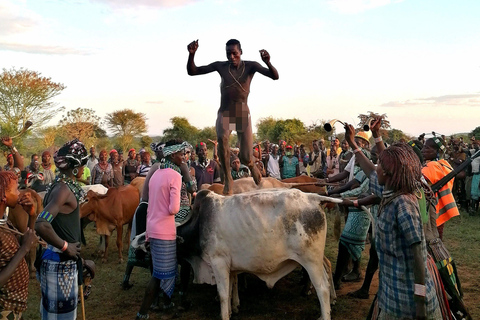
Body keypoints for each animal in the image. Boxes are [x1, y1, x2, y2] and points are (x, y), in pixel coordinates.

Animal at [177, 189, 334, 318]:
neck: (199, 224)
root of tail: (313, 198)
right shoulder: (229, 267)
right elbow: (229, 289)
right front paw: (231, 310)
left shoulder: (218, 262)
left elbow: (223, 295)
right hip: (315, 262)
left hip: (311, 262)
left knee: (322, 289)